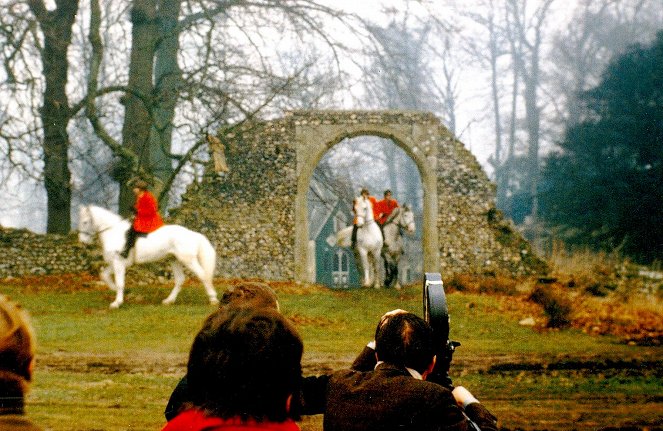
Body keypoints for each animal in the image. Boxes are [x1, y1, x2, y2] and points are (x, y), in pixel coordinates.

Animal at [77, 207, 218, 310]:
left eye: (85, 222)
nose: (83, 241)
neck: (113, 232)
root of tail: (193, 234)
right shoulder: (116, 263)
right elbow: (104, 275)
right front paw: (120, 293)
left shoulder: (118, 262)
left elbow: (119, 283)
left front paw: (117, 303)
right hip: (174, 259)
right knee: (180, 279)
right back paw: (169, 300)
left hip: (188, 260)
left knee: (202, 275)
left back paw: (213, 299)